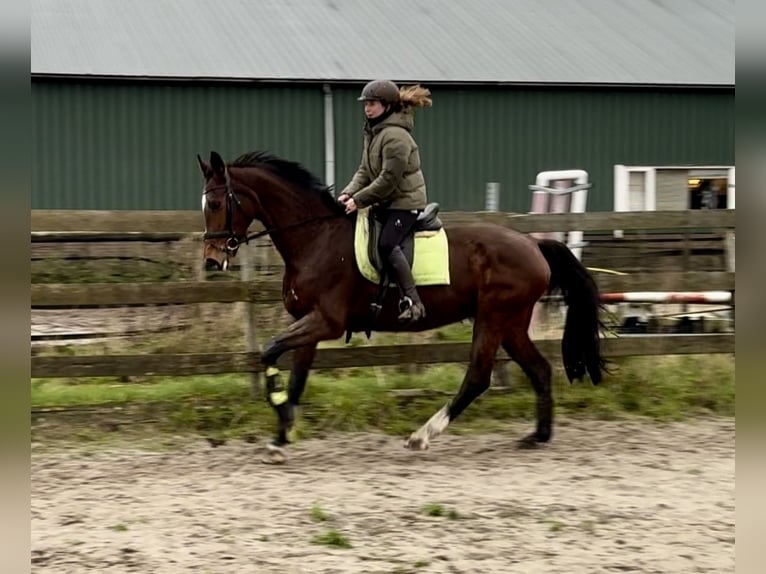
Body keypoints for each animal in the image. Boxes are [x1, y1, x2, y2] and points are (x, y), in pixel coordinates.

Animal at [198, 150, 608, 464]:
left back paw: (422, 435)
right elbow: (296, 377)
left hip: (495, 317)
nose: (211, 262)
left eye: (216, 203)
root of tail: (534, 244)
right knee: (538, 369)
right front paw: (281, 437)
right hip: (511, 323)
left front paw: (281, 412)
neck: (316, 238)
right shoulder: (309, 324)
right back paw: (538, 435)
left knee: (478, 376)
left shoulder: (326, 322)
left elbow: (269, 351)